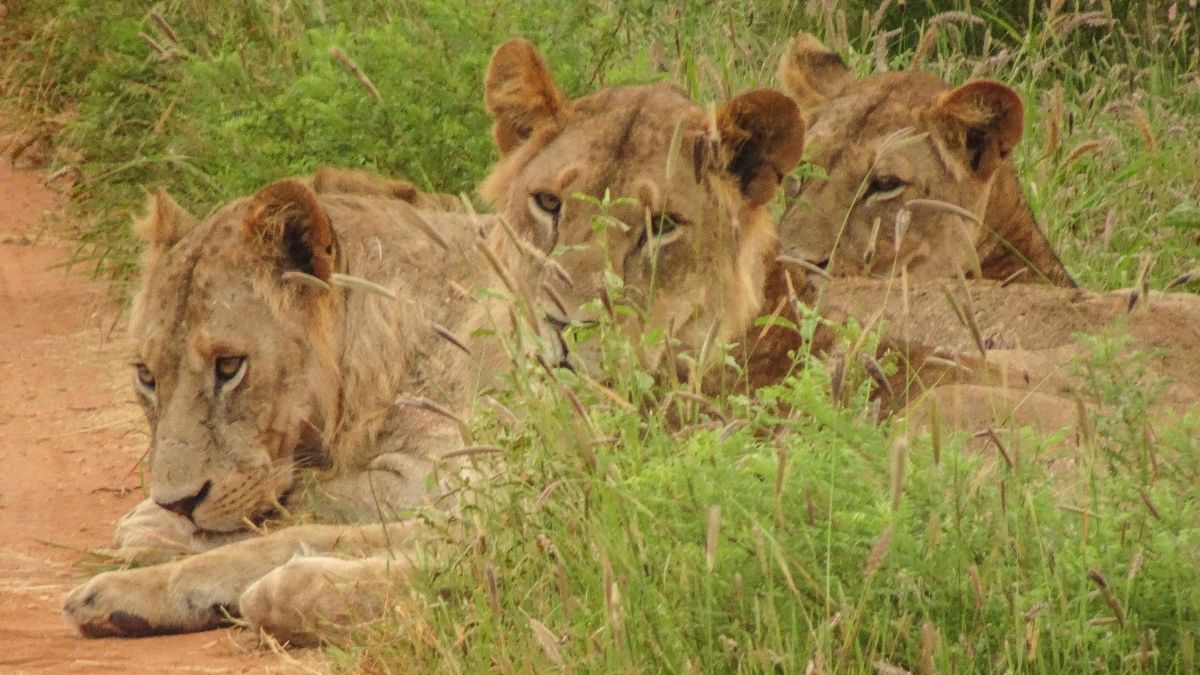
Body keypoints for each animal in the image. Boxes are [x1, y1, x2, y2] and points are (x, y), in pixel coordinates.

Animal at [58, 39, 806, 643]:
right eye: (146, 376)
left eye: (230, 366)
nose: (563, 328)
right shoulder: (469, 493)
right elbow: (285, 531)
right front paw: (132, 585)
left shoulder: (515, 511)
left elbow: (318, 523)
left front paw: (208, 551)